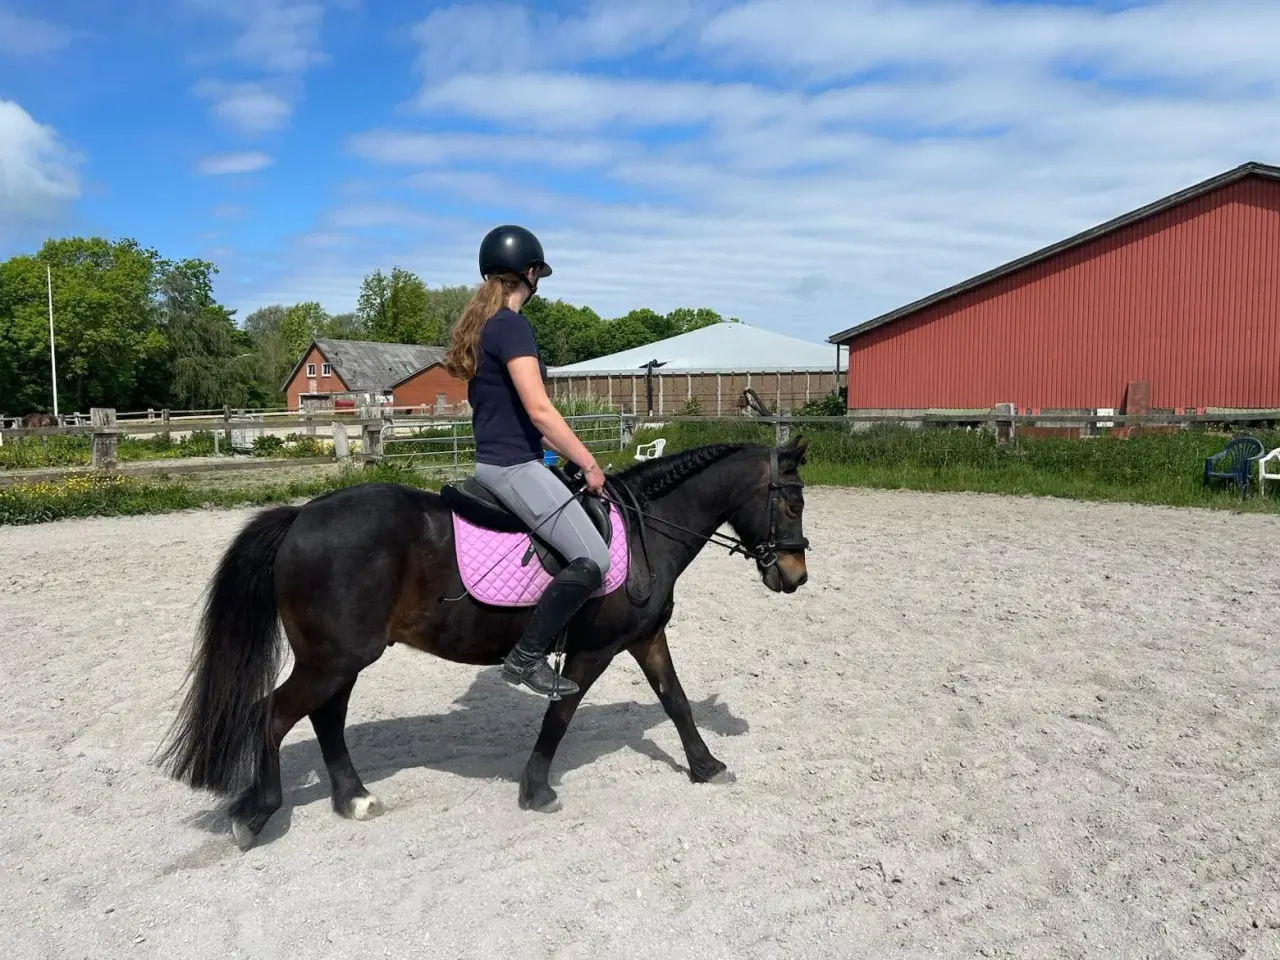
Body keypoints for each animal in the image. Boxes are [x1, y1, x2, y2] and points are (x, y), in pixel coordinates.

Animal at [155, 437, 812, 850]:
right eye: (792, 500)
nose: (796, 576)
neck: (647, 529)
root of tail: (301, 516)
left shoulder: (645, 639)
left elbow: (675, 701)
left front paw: (706, 766)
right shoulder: (593, 651)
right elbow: (560, 715)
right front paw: (537, 789)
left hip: (338, 659)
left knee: (325, 718)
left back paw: (354, 798)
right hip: (333, 658)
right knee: (274, 714)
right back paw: (257, 813)